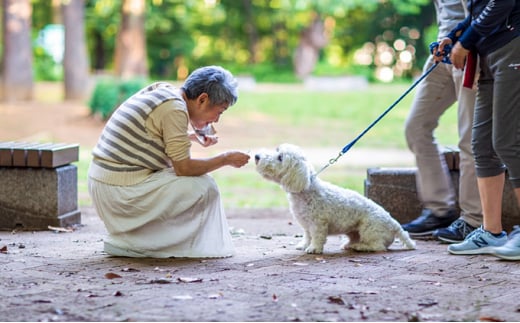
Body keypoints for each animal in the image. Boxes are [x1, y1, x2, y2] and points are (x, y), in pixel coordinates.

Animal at [254, 145, 416, 256]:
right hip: (354, 231)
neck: (306, 188)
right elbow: (307, 236)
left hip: (369, 228)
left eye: (280, 157)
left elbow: (317, 237)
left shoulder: (318, 223)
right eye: (277, 149)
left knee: (378, 246)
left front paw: (314, 249)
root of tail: (395, 224)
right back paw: (349, 244)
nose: (256, 156)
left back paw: (360, 246)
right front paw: (304, 245)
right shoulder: (306, 225)